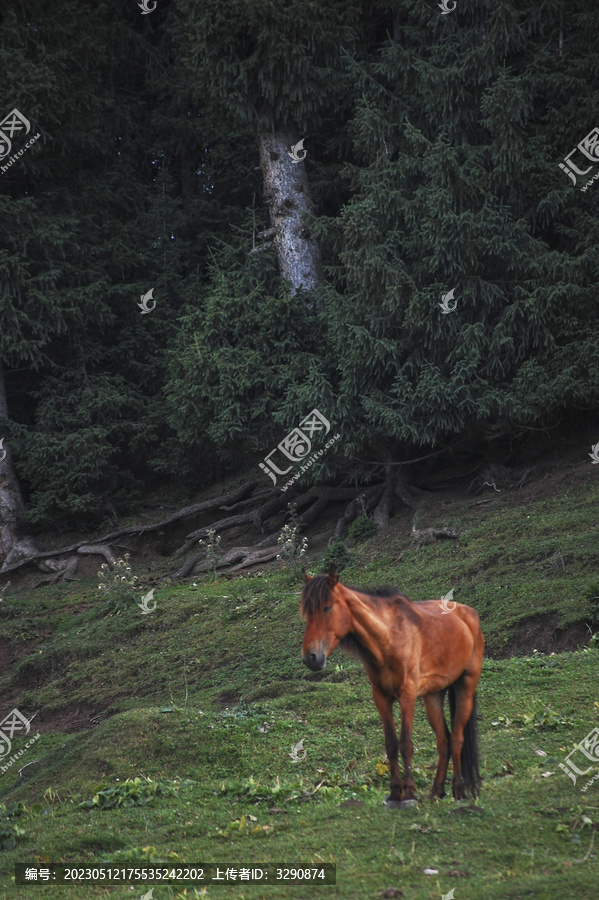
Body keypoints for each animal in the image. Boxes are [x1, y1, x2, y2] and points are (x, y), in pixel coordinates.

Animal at [302, 568, 486, 804]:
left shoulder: (407, 695)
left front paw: (409, 792)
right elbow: (390, 744)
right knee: (443, 741)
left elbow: (406, 744)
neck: (389, 638)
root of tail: (470, 614)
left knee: (456, 740)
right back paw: (436, 791)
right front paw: (395, 792)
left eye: (327, 607)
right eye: (306, 612)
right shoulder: (381, 697)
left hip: (466, 687)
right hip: (433, 696)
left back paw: (458, 790)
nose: (311, 658)